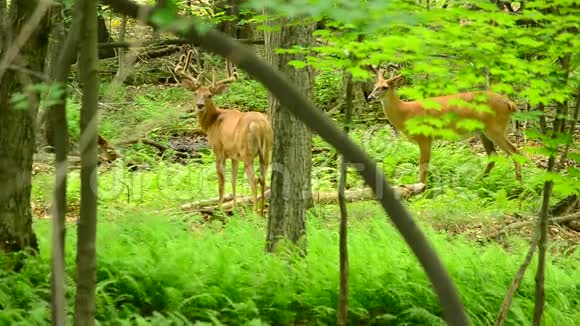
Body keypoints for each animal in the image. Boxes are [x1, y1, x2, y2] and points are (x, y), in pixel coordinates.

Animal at [173, 49, 274, 215]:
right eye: (195, 93)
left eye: (209, 95)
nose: (199, 105)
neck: (211, 123)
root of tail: (259, 124)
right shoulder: (234, 155)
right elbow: (233, 179)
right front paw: (234, 207)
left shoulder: (219, 150)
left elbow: (221, 181)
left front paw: (220, 209)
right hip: (265, 151)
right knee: (263, 178)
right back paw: (261, 212)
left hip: (247, 152)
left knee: (254, 180)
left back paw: (254, 212)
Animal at [370, 65, 524, 186]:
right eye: (374, 86)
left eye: (384, 87)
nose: (370, 96)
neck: (405, 113)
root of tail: (509, 103)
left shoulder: (425, 137)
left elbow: (423, 164)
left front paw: (422, 190)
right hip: (483, 132)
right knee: (493, 155)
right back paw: (478, 181)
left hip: (495, 128)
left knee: (515, 151)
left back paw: (518, 184)